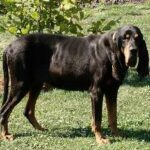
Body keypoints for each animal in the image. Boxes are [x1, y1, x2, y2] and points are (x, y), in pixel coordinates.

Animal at [0, 24, 149, 144]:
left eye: (137, 38)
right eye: (125, 38)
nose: (134, 51)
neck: (109, 51)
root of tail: (9, 47)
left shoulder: (112, 90)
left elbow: (113, 115)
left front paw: (117, 134)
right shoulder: (96, 92)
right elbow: (97, 119)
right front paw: (100, 139)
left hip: (36, 85)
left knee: (28, 111)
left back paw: (41, 129)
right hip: (20, 85)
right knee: (4, 111)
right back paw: (5, 135)